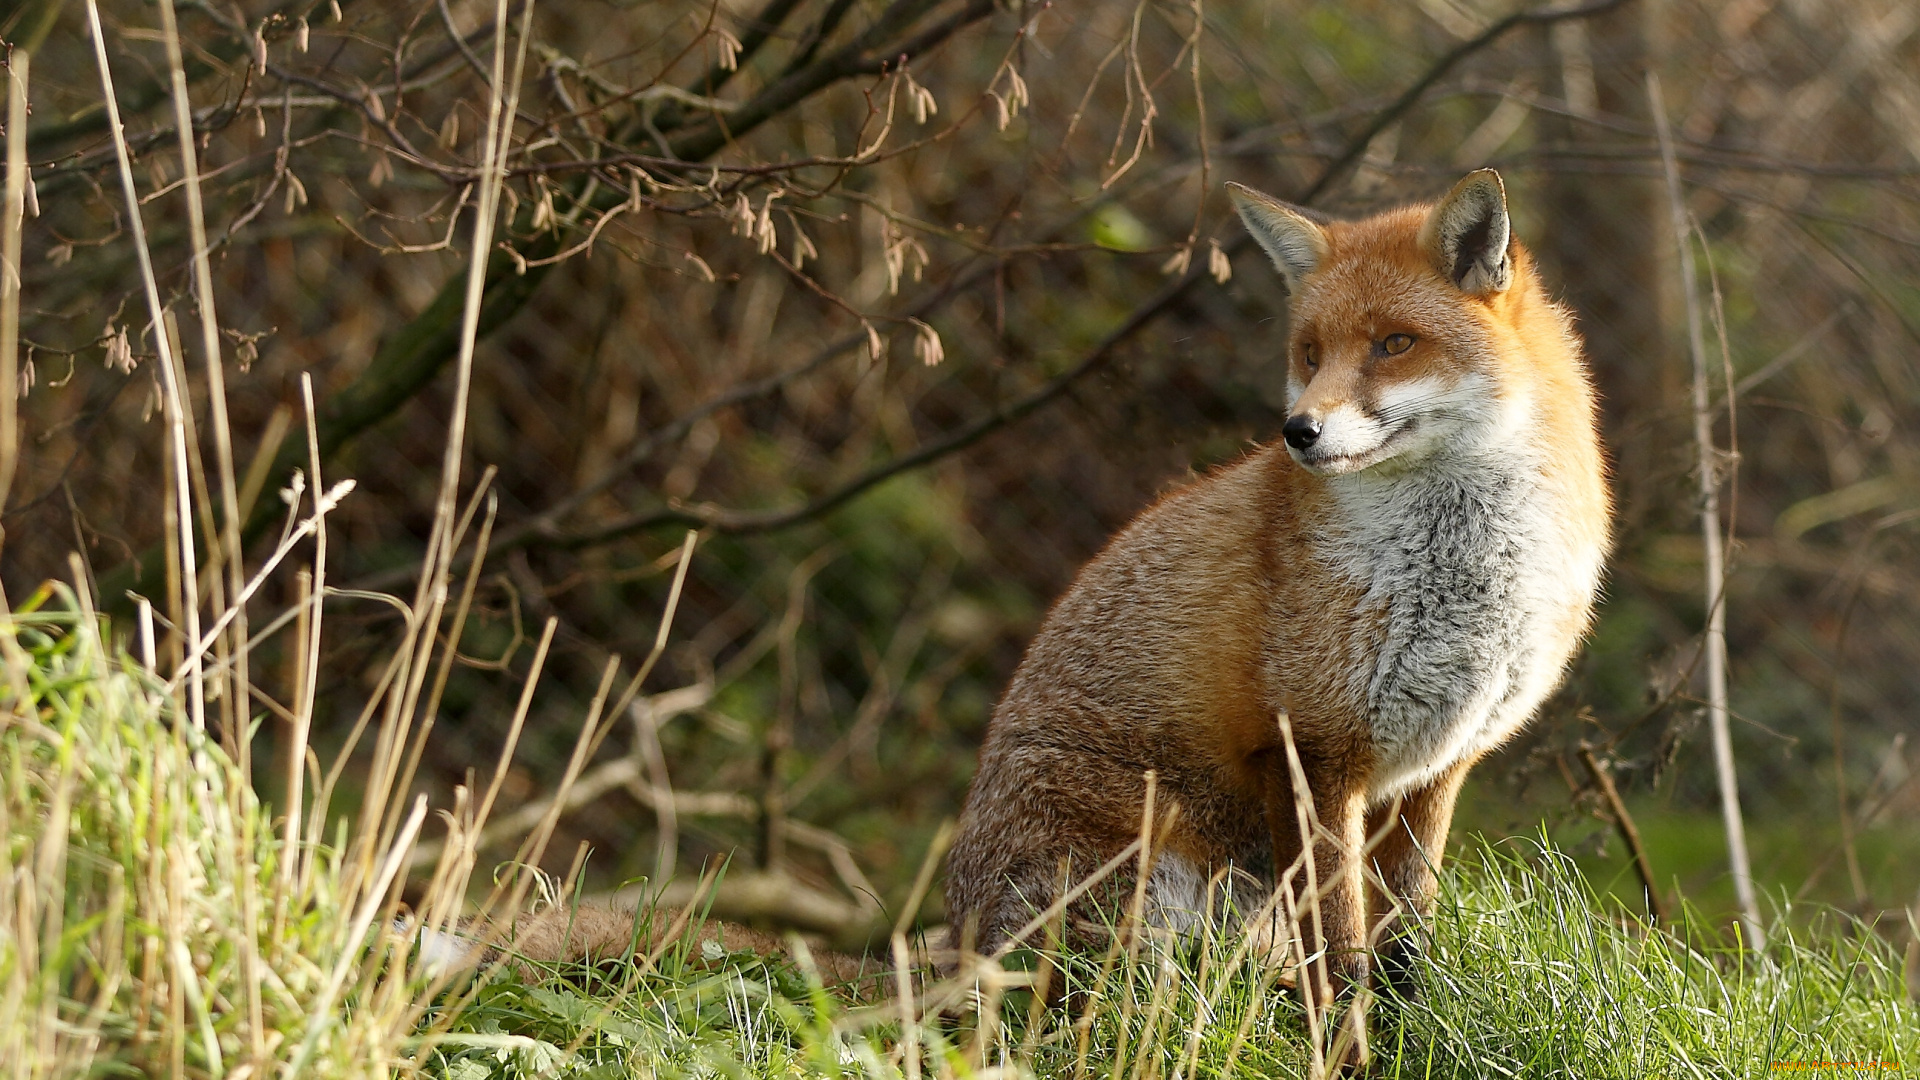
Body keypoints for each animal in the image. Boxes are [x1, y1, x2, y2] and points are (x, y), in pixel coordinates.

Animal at [940, 166, 1605, 1014]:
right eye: (1311, 354)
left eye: (1395, 344)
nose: (1299, 431)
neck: (1458, 575)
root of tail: (950, 950)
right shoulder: (1311, 751)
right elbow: (1341, 943)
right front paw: (1349, 1034)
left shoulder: (1438, 766)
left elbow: (1408, 929)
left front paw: (1409, 1021)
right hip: (1145, 878)